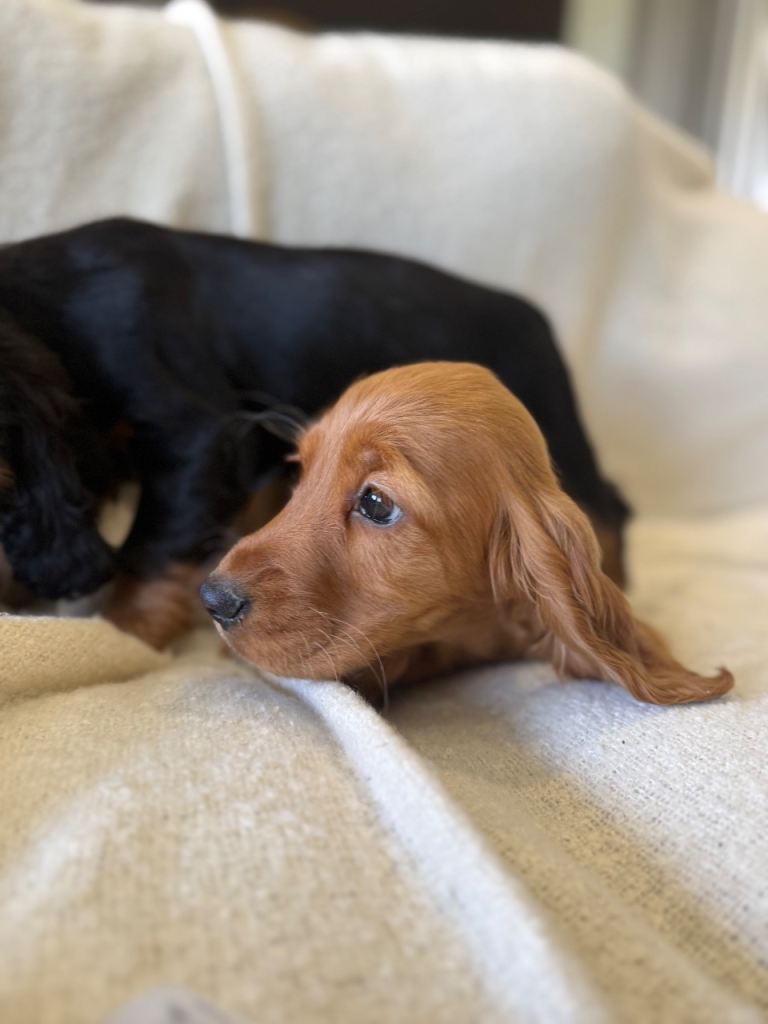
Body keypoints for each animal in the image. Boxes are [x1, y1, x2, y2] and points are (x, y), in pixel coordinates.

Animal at [0, 218, 627, 647]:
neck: (58, 316)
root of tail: (535, 316)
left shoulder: (195, 428)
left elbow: (152, 548)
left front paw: (126, 628)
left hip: (550, 428)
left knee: (608, 507)